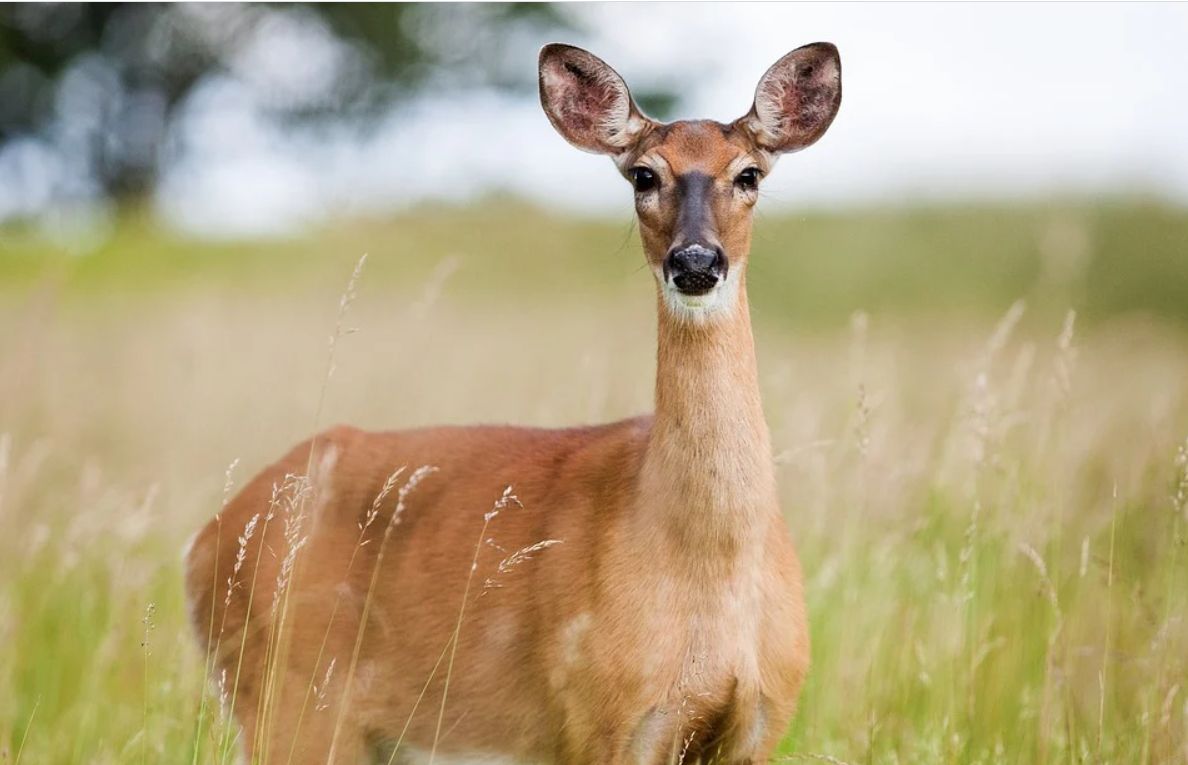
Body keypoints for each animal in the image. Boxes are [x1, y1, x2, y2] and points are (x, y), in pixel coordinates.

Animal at [185, 41, 841, 764]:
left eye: (749, 173)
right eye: (642, 175)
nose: (695, 262)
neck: (705, 563)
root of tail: (203, 542)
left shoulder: (759, 723)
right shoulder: (598, 718)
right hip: (288, 704)